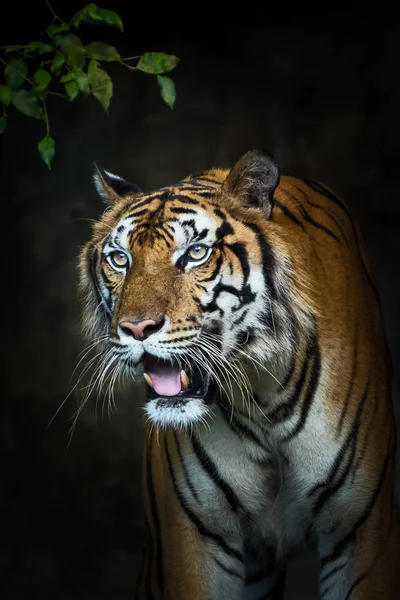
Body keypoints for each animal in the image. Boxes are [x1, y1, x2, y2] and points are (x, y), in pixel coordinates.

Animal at [79, 151, 400, 600]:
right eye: (120, 259)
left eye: (195, 253)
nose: (137, 328)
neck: (263, 395)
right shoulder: (193, 535)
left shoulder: (362, 528)